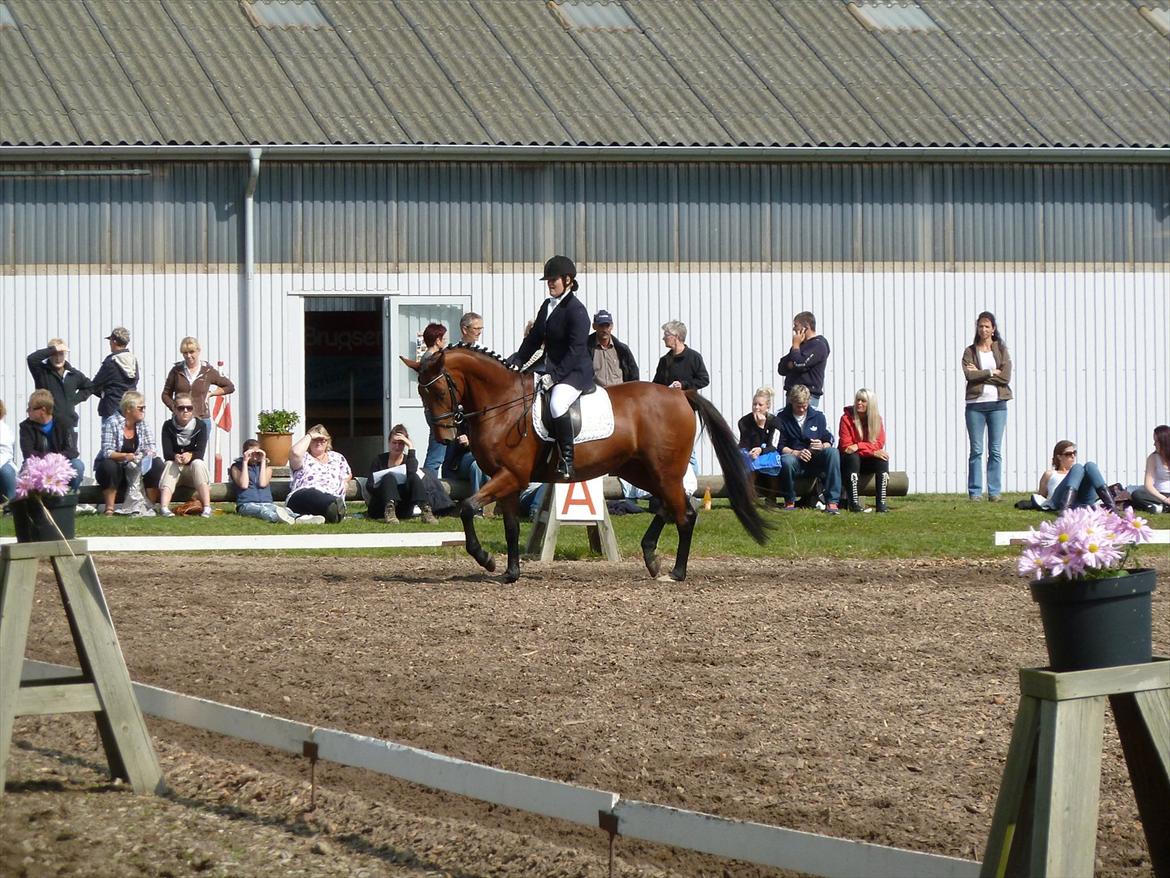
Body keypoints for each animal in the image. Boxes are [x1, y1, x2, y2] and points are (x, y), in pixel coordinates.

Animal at [402, 346, 767, 585]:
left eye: (439, 390)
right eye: (421, 393)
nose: (445, 435)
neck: (503, 406)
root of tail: (680, 394)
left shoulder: (511, 476)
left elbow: (466, 507)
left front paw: (486, 560)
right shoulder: (507, 481)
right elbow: (510, 527)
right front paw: (510, 572)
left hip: (664, 470)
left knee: (685, 513)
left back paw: (676, 572)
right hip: (640, 471)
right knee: (669, 506)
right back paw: (651, 557)